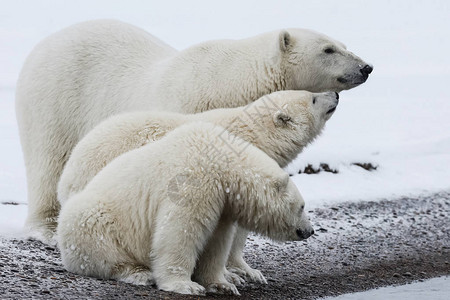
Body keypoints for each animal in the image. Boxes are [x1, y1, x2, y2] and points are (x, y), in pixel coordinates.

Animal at [14, 18, 372, 245]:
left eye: (343, 43)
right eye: (328, 49)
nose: (366, 66)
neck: (233, 80)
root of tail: (46, 43)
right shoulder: (188, 105)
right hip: (54, 97)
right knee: (48, 159)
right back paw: (46, 229)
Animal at [58, 122, 314, 296]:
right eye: (302, 206)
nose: (309, 230)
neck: (220, 159)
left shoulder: (222, 204)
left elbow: (216, 242)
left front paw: (221, 284)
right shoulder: (194, 183)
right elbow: (180, 232)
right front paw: (186, 285)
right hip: (93, 219)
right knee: (103, 247)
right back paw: (140, 273)